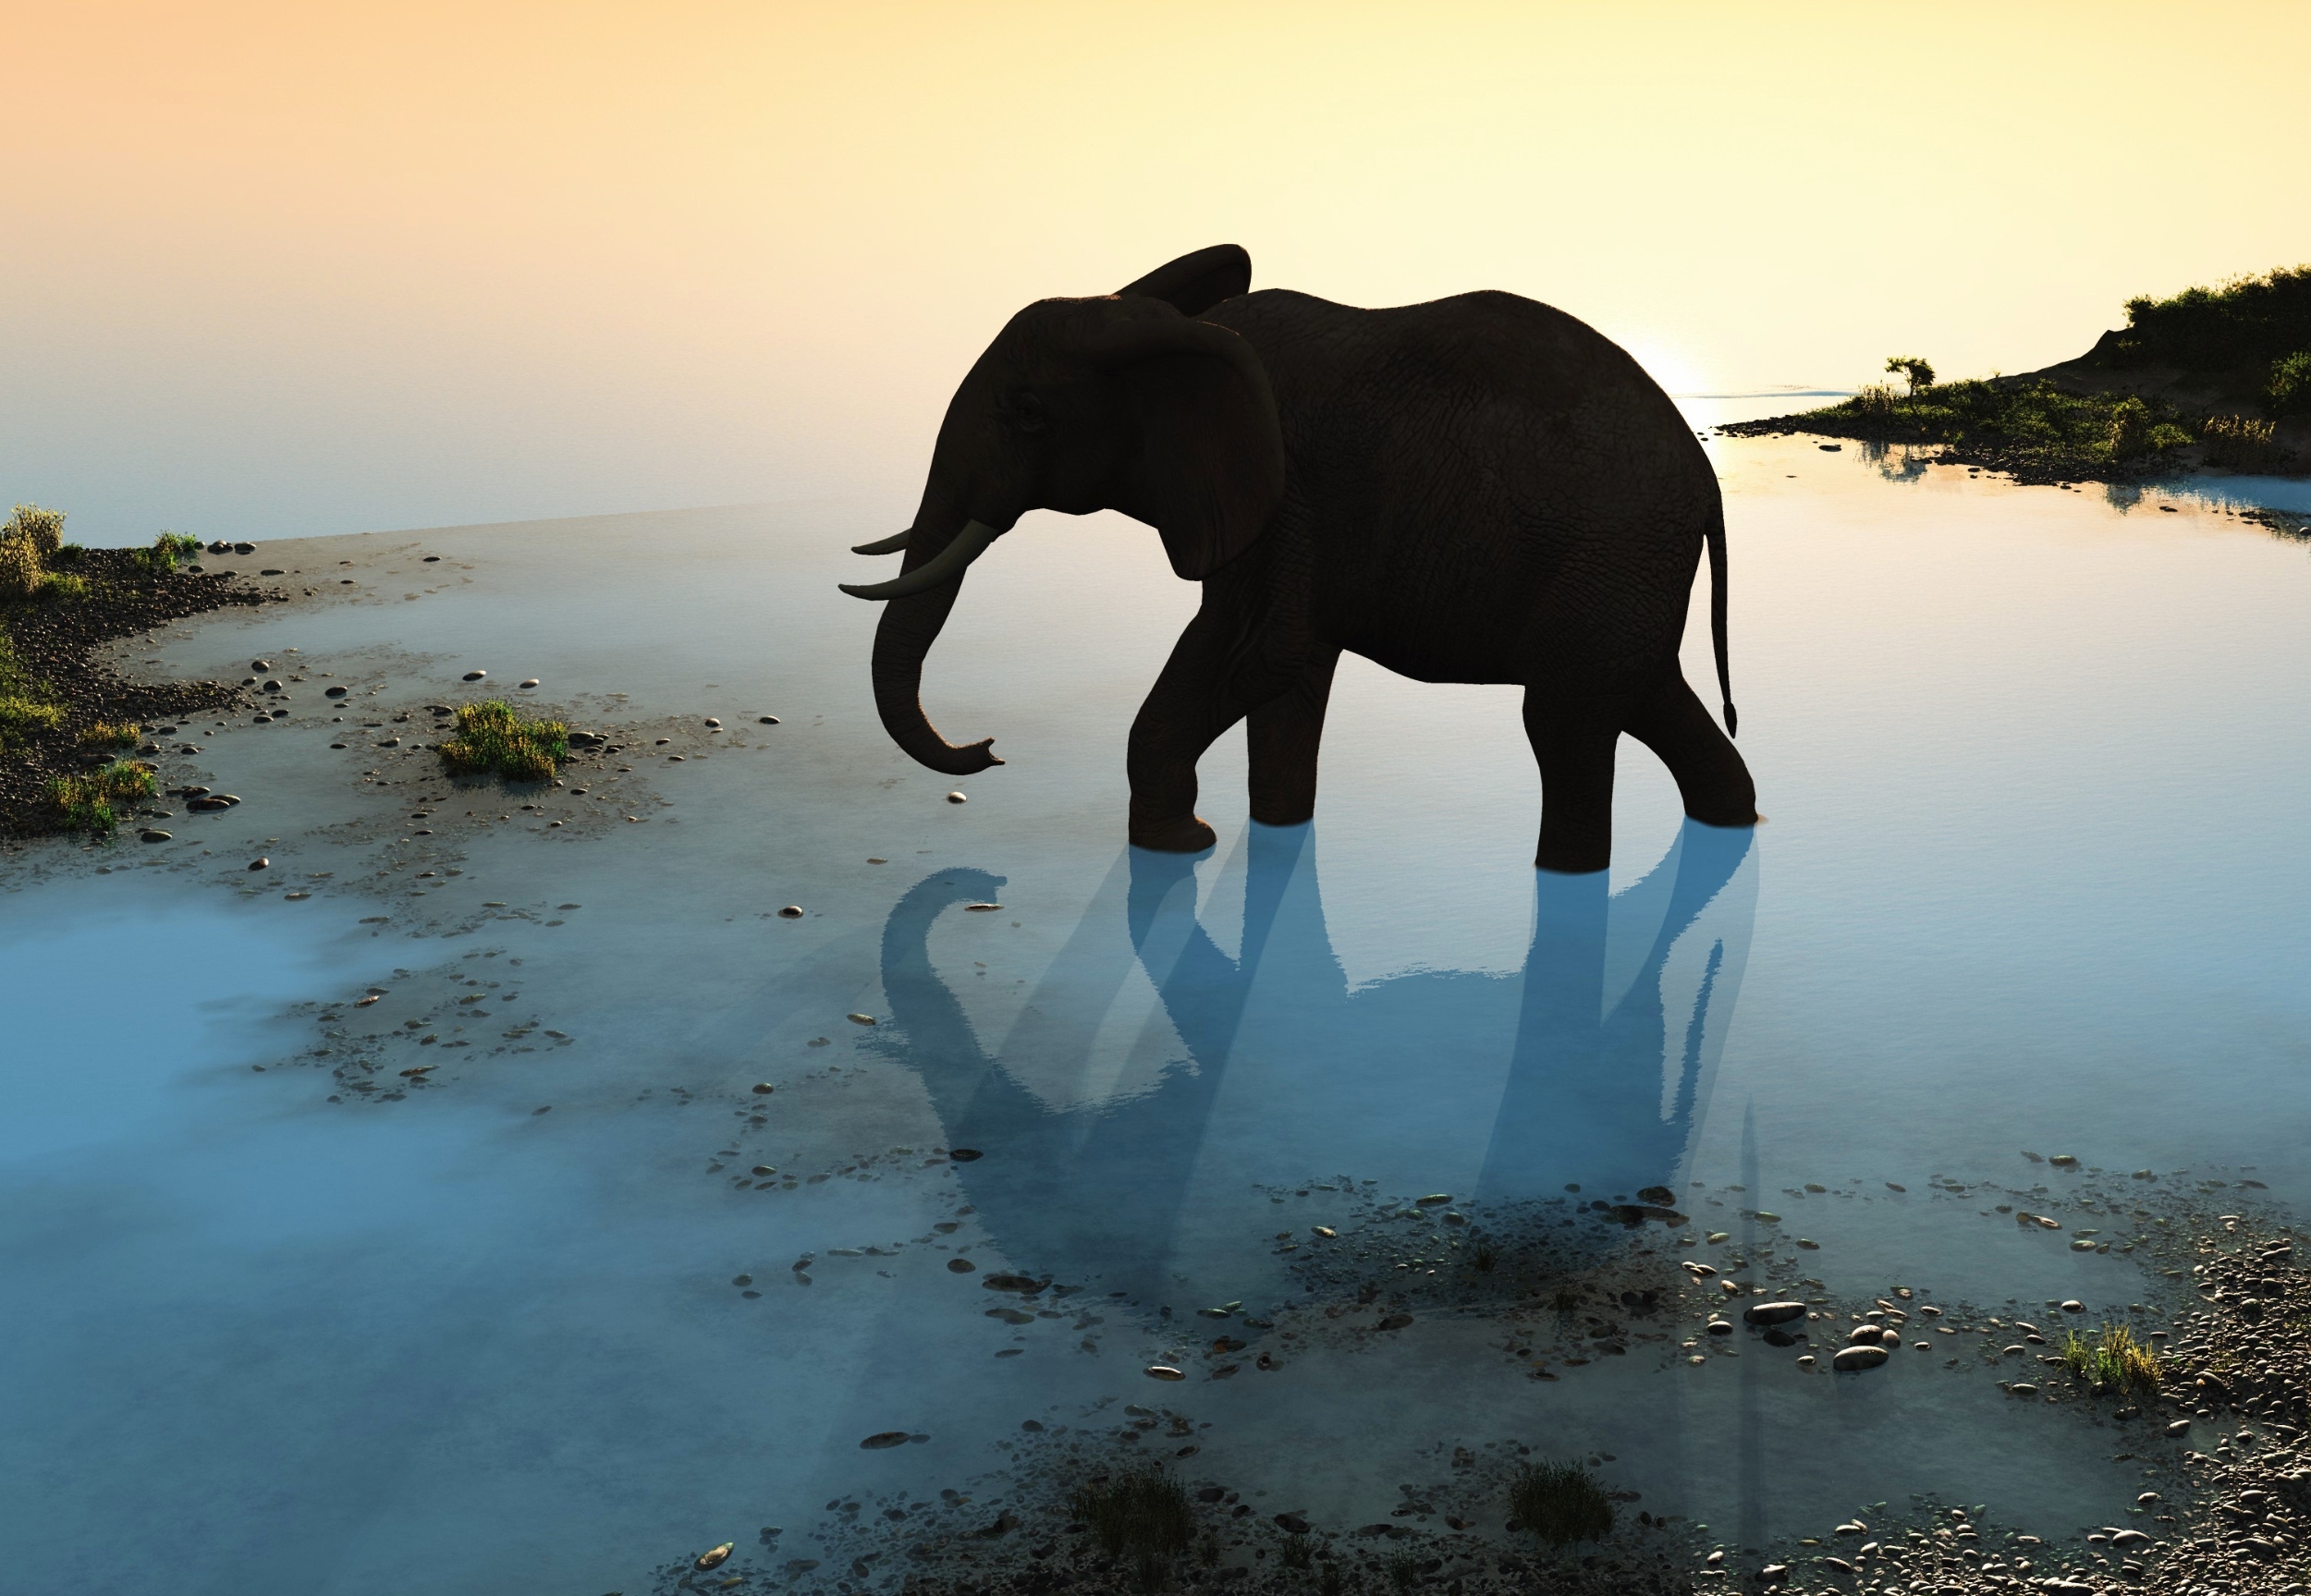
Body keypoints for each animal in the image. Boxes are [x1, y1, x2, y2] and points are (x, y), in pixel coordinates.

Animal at [842, 244, 1759, 873]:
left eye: (1028, 412)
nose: (989, 752)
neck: (1163, 331)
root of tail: (1704, 481)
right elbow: (1290, 670)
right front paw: (1257, 833)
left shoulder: (1288, 497)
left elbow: (1259, 652)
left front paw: (1179, 845)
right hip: (1625, 571)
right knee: (1643, 696)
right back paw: (1732, 824)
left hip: (1611, 554)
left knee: (1565, 718)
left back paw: (1566, 879)